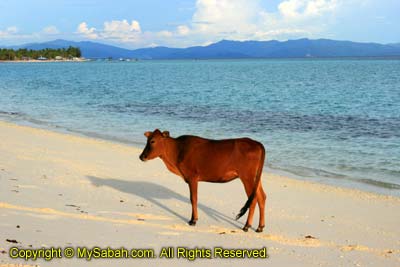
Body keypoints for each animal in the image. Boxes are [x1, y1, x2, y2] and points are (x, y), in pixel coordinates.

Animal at [139, 129, 268, 232]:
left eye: (153, 141)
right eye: (147, 140)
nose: (141, 156)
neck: (177, 151)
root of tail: (257, 143)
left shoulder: (192, 177)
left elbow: (193, 199)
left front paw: (193, 220)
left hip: (247, 177)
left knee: (253, 199)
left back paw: (247, 226)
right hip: (256, 178)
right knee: (261, 197)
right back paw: (260, 227)